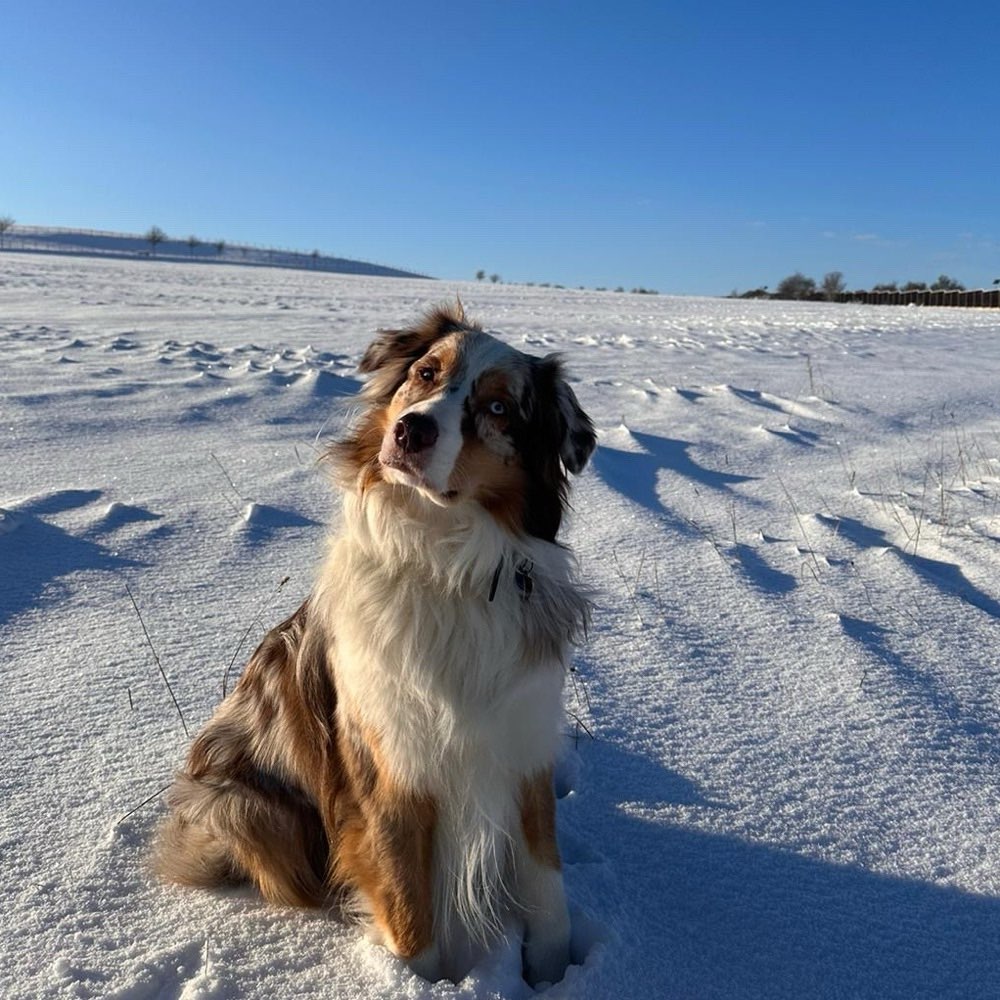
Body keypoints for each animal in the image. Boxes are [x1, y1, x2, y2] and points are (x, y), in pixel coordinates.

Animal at [152, 302, 596, 984]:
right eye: (425, 373)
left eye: (499, 408)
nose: (411, 432)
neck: (448, 560)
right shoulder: (388, 766)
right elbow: (410, 914)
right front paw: (422, 982)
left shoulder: (522, 742)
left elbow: (549, 890)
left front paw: (552, 976)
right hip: (248, 807)